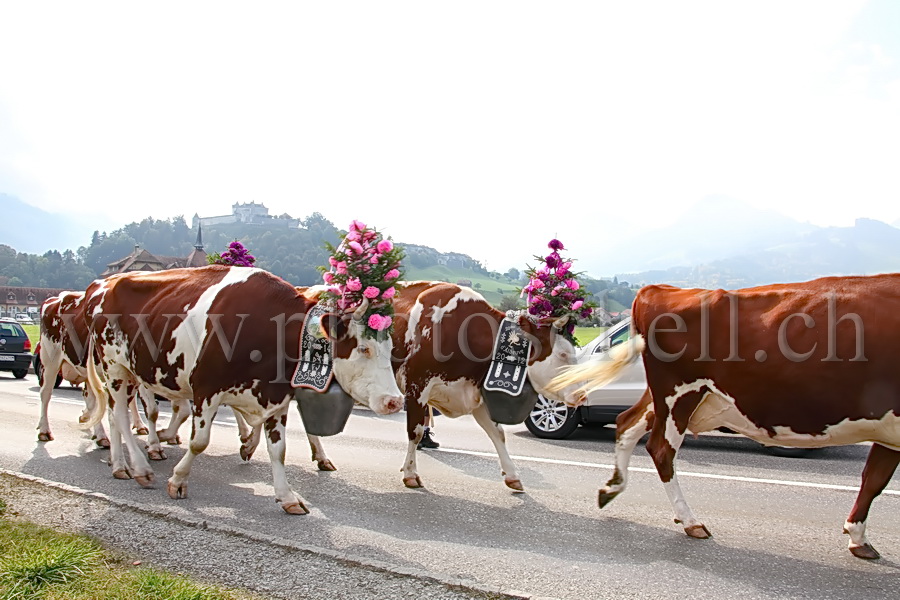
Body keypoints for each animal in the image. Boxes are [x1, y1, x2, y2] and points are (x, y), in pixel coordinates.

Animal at [81, 264, 404, 512]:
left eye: (389, 348)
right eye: (363, 348)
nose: (395, 401)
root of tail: (105, 285)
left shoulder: (276, 398)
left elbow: (278, 450)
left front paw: (287, 497)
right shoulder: (205, 389)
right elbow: (199, 442)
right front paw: (178, 480)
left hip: (128, 374)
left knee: (114, 415)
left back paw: (120, 466)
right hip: (113, 366)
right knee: (121, 417)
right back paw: (141, 469)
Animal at [392, 282, 576, 492]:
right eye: (562, 354)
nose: (582, 393)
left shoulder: (474, 393)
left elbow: (498, 434)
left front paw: (512, 476)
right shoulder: (417, 385)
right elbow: (415, 431)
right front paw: (410, 473)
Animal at [552, 278, 900, 560]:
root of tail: (658, 289)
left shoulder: (889, 430)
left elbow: (873, 479)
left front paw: (857, 537)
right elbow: (875, 480)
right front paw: (857, 536)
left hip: (666, 397)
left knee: (626, 424)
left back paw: (612, 489)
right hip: (680, 393)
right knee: (660, 449)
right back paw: (690, 521)